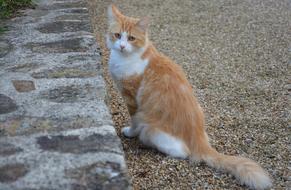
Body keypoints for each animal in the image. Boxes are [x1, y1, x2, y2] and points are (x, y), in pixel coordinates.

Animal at [107, 4, 274, 190]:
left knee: (183, 152)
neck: (126, 58)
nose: (122, 46)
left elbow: (133, 121)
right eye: (117, 35)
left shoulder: (132, 99)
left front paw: (129, 132)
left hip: (150, 129)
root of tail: (201, 142)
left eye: (131, 38)